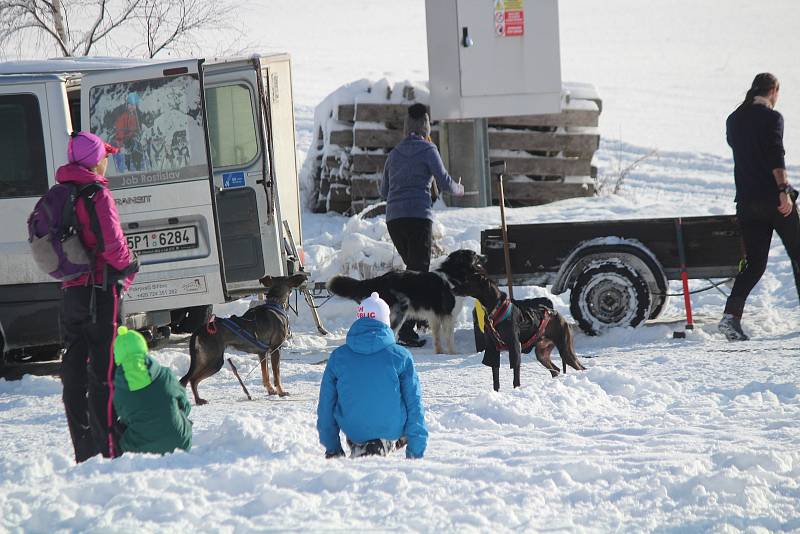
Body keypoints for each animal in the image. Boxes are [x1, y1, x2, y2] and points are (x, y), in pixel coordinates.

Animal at [180, 276, 308, 406]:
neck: (275, 303)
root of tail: (200, 329)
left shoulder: (262, 353)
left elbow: (265, 374)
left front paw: (270, 390)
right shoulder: (275, 349)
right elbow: (276, 375)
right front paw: (281, 392)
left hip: (202, 359)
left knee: (186, 379)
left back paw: (195, 399)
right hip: (214, 361)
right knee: (193, 379)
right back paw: (198, 400)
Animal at [326, 251, 488, 356]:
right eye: (474, 255)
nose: (486, 256)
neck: (453, 274)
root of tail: (382, 278)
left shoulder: (435, 317)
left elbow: (437, 338)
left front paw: (440, 353)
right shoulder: (448, 315)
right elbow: (449, 337)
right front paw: (453, 353)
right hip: (400, 313)